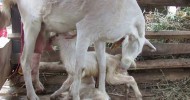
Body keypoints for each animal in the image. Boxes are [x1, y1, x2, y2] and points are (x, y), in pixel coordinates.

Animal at [0, 0, 147, 99]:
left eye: (138, 51)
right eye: (130, 44)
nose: (124, 67)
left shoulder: (99, 38)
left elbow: (102, 65)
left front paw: (103, 93)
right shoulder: (84, 29)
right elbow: (78, 67)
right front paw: (75, 96)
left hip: (42, 26)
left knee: (36, 55)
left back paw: (39, 87)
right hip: (31, 22)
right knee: (25, 59)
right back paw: (32, 95)